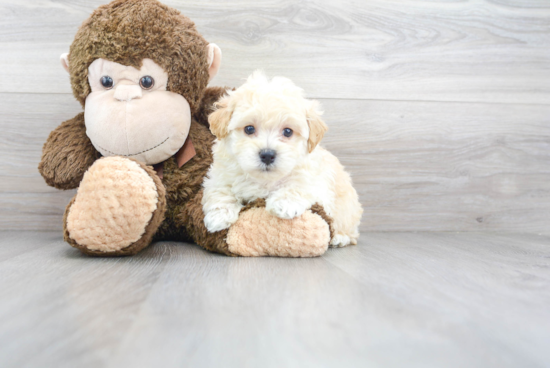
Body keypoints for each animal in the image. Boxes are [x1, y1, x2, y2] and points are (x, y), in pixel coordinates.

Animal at [201, 71, 364, 247]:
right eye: (249, 129)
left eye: (287, 132)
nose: (267, 155)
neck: (265, 180)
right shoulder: (219, 176)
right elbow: (220, 191)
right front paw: (218, 217)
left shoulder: (316, 183)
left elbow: (300, 186)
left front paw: (284, 204)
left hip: (348, 211)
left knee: (351, 232)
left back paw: (340, 238)